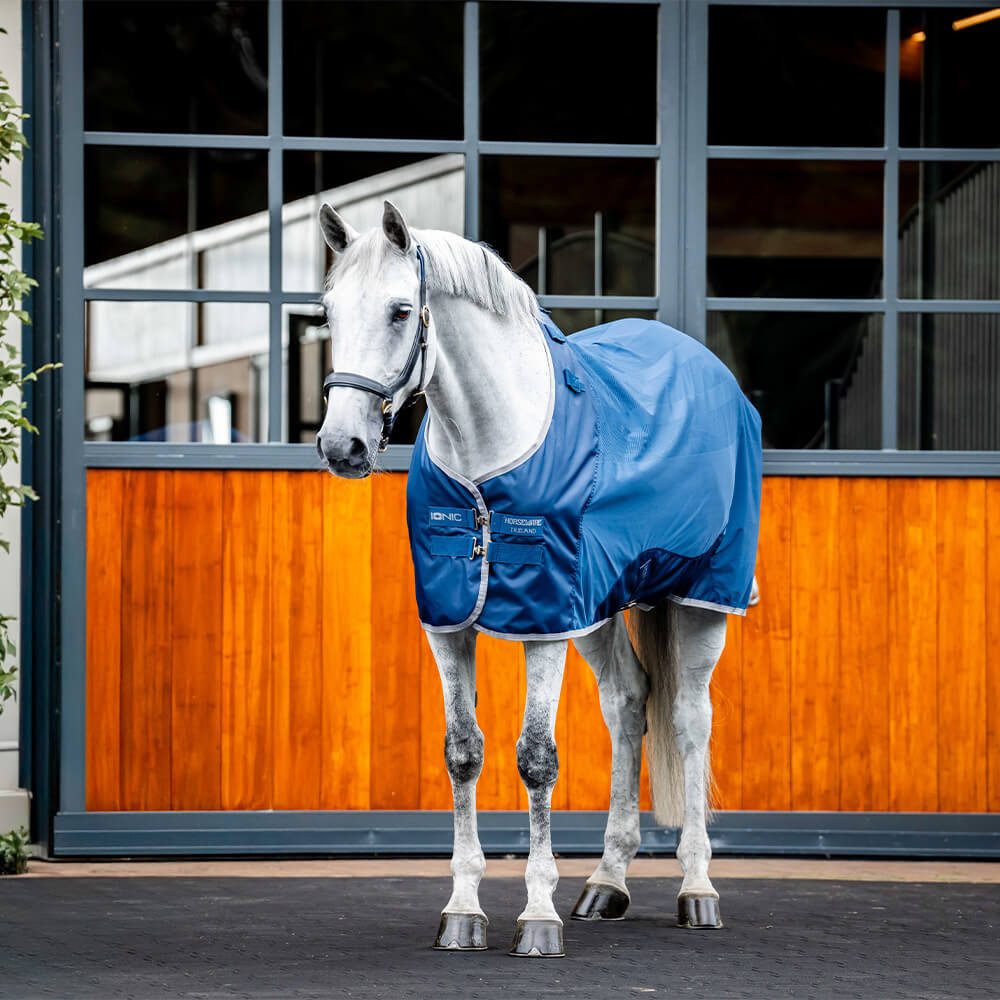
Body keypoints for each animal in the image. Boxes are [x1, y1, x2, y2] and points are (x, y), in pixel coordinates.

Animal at [316, 200, 762, 958]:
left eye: (402, 311)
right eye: (329, 311)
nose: (340, 445)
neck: (489, 450)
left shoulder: (546, 619)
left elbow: (536, 760)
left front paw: (538, 916)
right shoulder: (453, 622)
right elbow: (463, 752)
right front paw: (463, 910)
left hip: (702, 596)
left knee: (689, 717)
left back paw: (697, 889)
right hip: (601, 607)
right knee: (628, 703)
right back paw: (606, 884)